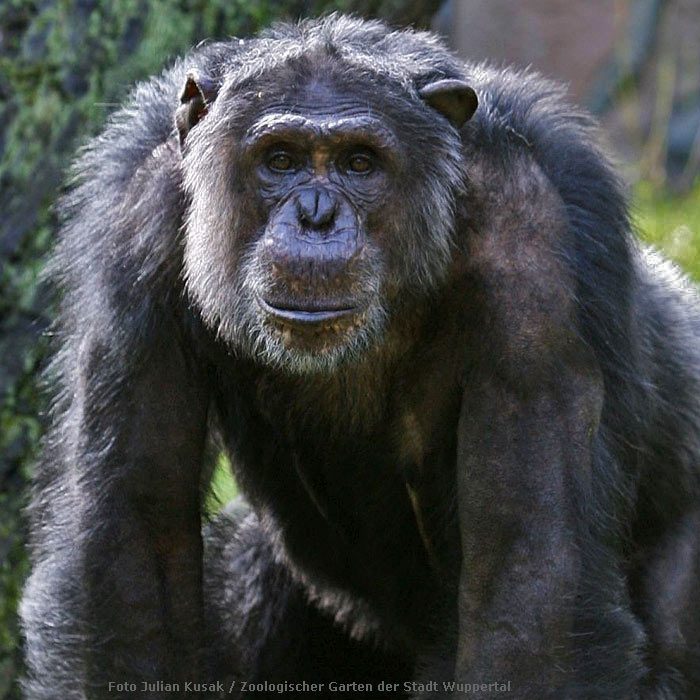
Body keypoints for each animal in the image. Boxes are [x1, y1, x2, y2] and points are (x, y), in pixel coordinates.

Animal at [19, 12, 700, 700]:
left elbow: (531, 582)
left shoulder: (536, 235)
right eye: (281, 159)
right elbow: (133, 547)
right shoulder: (137, 216)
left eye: (359, 162)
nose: (316, 216)